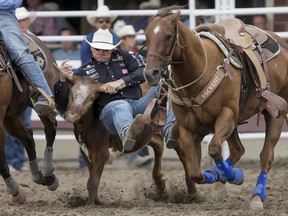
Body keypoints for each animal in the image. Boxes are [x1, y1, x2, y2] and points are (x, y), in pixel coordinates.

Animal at [0, 32, 59, 204]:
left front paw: (15, 192)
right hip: (10, 118)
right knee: (28, 138)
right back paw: (37, 175)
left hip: (42, 104)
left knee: (50, 129)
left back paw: (48, 173)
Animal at [63, 75, 166, 205]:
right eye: (71, 93)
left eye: (91, 98)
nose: (72, 116)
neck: (89, 125)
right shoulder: (86, 152)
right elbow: (92, 176)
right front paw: (96, 201)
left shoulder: (102, 153)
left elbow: (92, 181)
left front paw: (90, 204)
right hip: (151, 134)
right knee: (159, 145)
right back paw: (160, 183)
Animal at [144, 5, 288, 210]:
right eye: (146, 37)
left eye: (168, 36)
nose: (150, 73)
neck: (199, 71)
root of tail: (282, 44)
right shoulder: (188, 129)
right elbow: (196, 172)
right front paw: (224, 176)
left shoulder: (227, 115)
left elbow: (213, 149)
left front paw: (232, 175)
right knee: (237, 149)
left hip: (275, 113)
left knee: (265, 156)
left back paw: (257, 197)